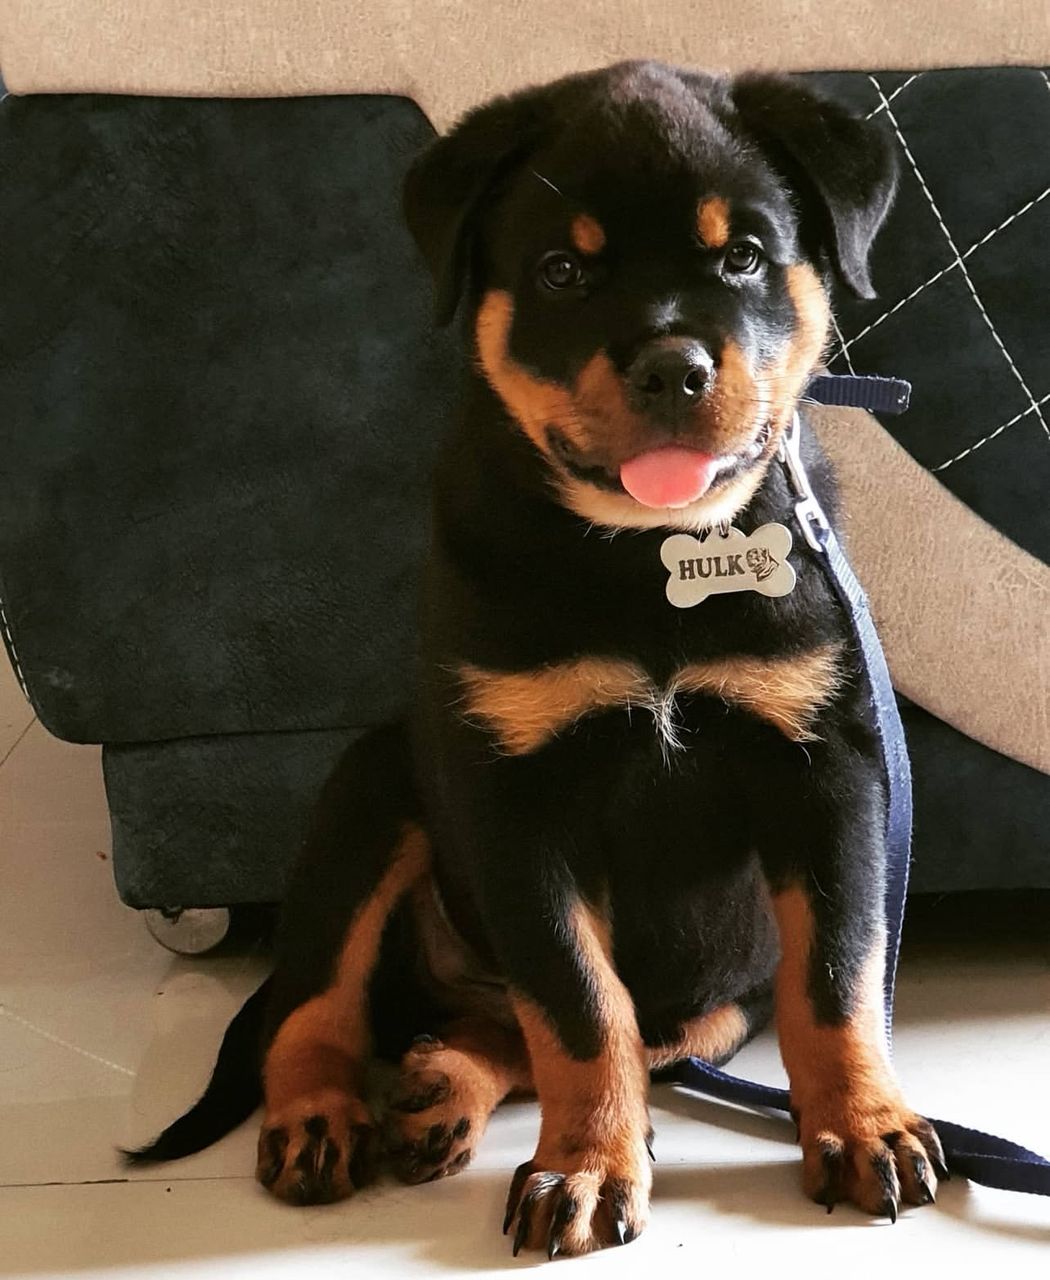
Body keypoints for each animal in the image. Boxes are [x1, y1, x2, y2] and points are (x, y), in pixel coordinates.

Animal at [131, 61, 946, 1256]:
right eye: (563, 270)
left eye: (743, 256)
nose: (671, 366)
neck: (649, 556)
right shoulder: (515, 796)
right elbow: (576, 1000)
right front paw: (590, 1169)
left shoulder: (824, 768)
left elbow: (835, 978)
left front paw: (863, 1126)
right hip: (368, 792)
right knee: (320, 1002)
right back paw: (321, 1116)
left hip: (715, 1002)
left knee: (553, 1025)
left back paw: (439, 1087)